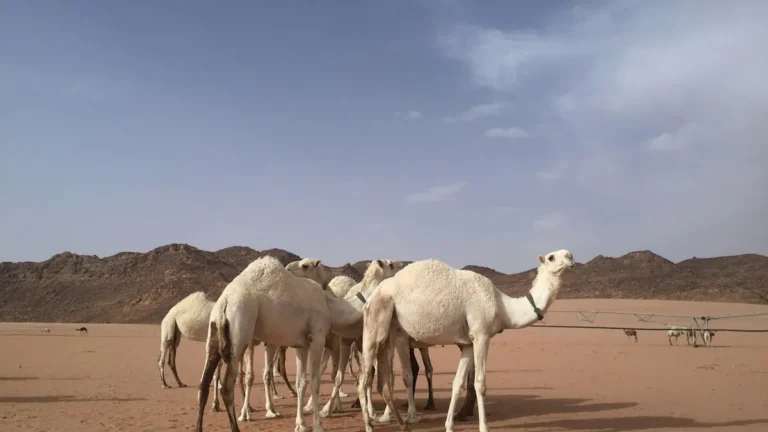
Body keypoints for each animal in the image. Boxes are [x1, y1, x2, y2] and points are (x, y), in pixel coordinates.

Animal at [195, 256, 360, 432]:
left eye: (305, 265)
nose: (288, 268)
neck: (329, 305)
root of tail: (224, 303)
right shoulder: (318, 336)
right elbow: (315, 382)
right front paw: (318, 425)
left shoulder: (302, 345)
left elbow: (301, 382)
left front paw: (301, 425)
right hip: (239, 332)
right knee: (226, 388)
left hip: (214, 336)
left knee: (203, 385)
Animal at [356, 249, 575, 432]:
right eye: (552, 257)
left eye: (567, 254)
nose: (570, 257)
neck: (503, 306)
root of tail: (372, 296)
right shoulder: (481, 335)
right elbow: (480, 383)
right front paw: (484, 427)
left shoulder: (468, 344)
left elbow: (457, 383)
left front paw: (449, 425)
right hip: (378, 323)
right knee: (365, 378)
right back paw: (370, 424)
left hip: (390, 332)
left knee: (383, 379)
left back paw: (399, 423)